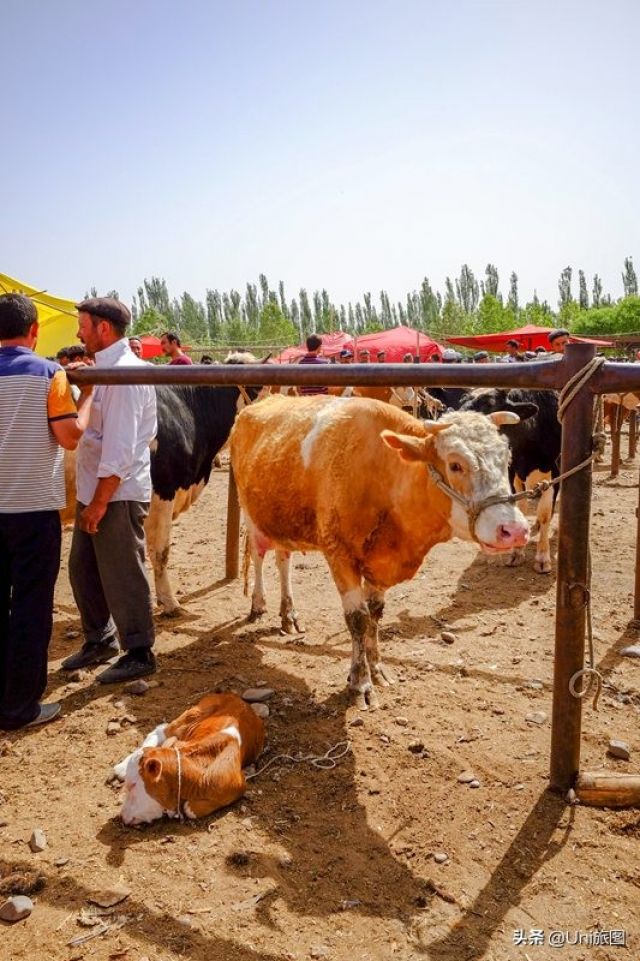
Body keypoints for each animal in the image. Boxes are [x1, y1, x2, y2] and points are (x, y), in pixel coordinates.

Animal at [115, 692, 262, 820]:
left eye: (133, 785)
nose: (122, 815)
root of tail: (236, 697)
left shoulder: (239, 786)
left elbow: (189, 809)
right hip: (192, 715)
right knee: (161, 730)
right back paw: (120, 768)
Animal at [228, 394, 528, 708]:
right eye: (456, 465)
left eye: (506, 459)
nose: (515, 530)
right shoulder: (339, 554)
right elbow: (358, 619)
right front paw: (360, 683)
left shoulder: (380, 564)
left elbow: (374, 615)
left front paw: (377, 669)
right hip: (251, 513)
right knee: (259, 555)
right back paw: (258, 605)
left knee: (283, 559)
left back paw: (289, 614)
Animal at [460, 388, 560, 572]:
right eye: (462, 400)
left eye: (489, 403)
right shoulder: (512, 471)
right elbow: (519, 507)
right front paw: (517, 552)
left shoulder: (554, 474)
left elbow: (545, 514)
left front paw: (543, 557)